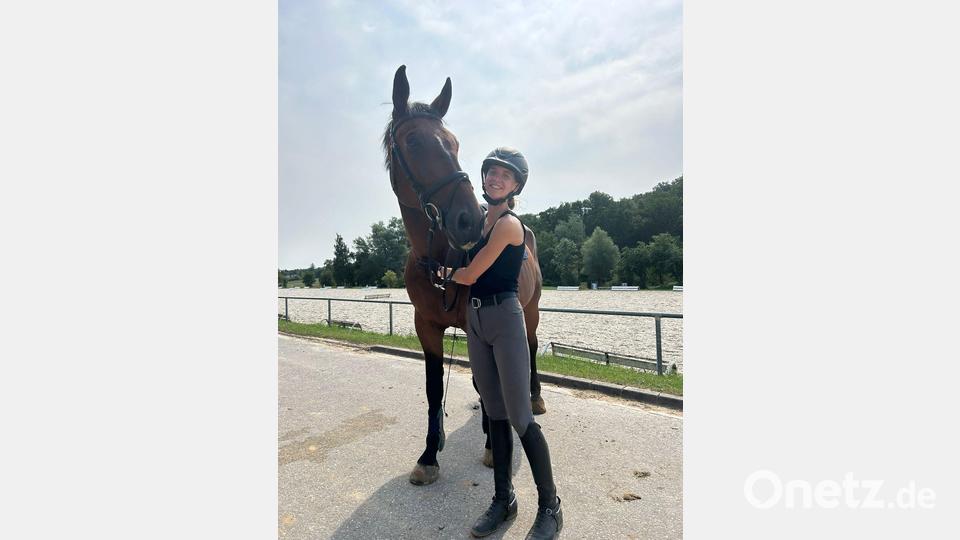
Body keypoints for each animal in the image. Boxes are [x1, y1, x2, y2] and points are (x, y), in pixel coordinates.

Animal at [382, 65, 546, 486]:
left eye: (454, 143)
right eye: (413, 141)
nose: (468, 219)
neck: (440, 258)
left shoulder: (475, 325)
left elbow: (484, 381)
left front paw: (492, 445)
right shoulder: (426, 326)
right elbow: (433, 387)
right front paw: (429, 456)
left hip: (531, 312)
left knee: (532, 347)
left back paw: (534, 398)